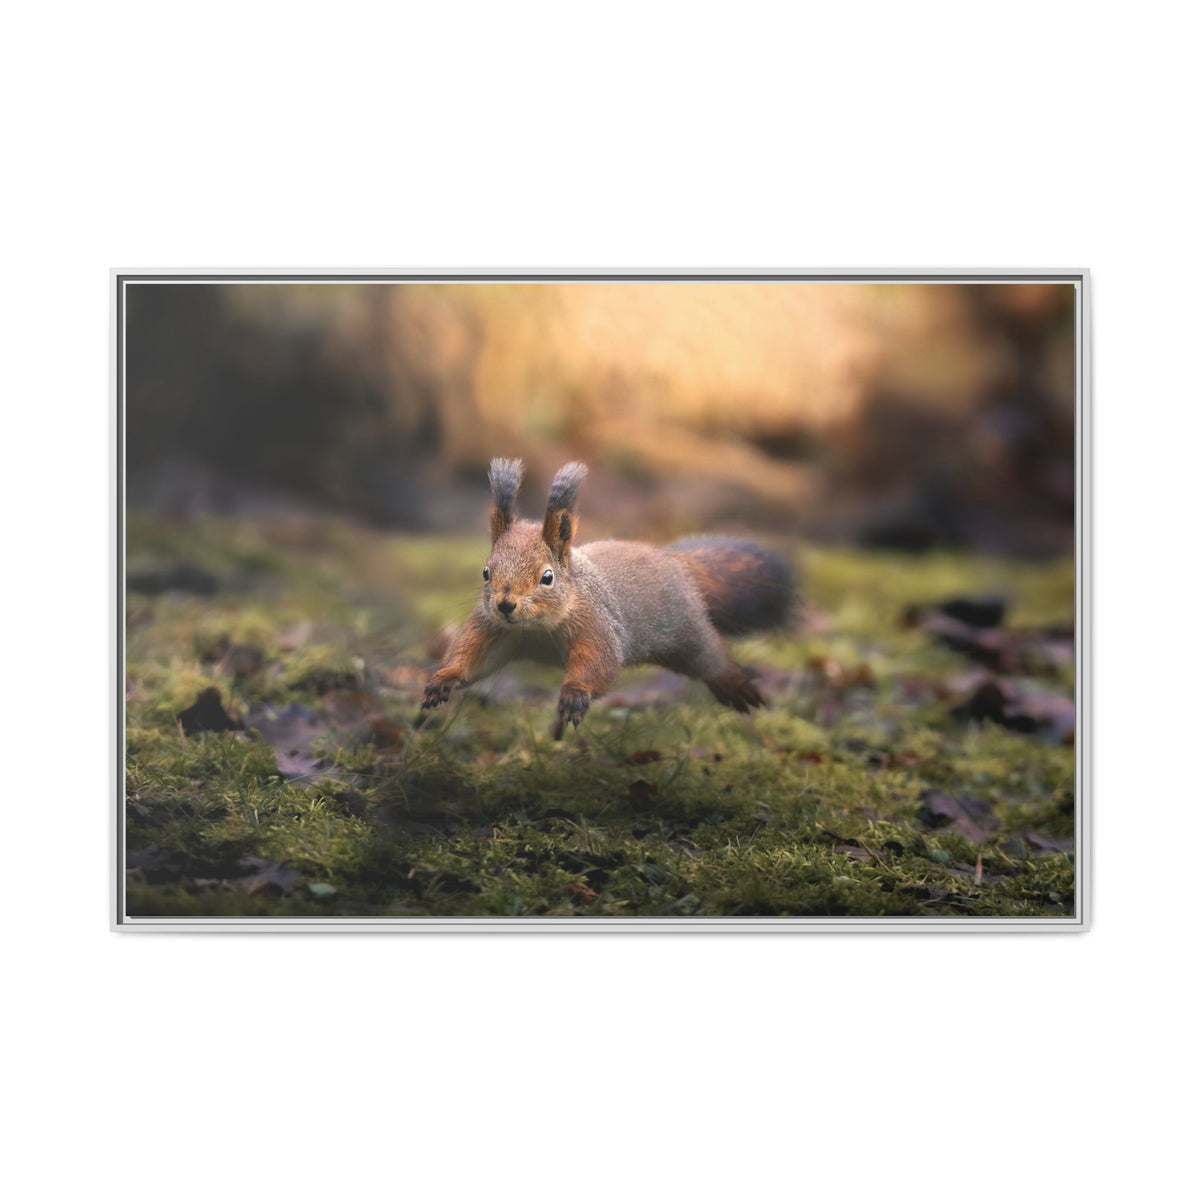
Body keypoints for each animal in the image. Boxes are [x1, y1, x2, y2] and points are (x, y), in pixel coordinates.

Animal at [422, 457, 797, 738]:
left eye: (547, 577)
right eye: (486, 572)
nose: (504, 604)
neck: (536, 629)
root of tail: (676, 562)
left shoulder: (595, 624)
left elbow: (599, 663)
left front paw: (575, 693)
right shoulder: (494, 629)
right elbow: (472, 657)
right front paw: (444, 678)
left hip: (687, 632)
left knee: (712, 657)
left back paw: (736, 684)